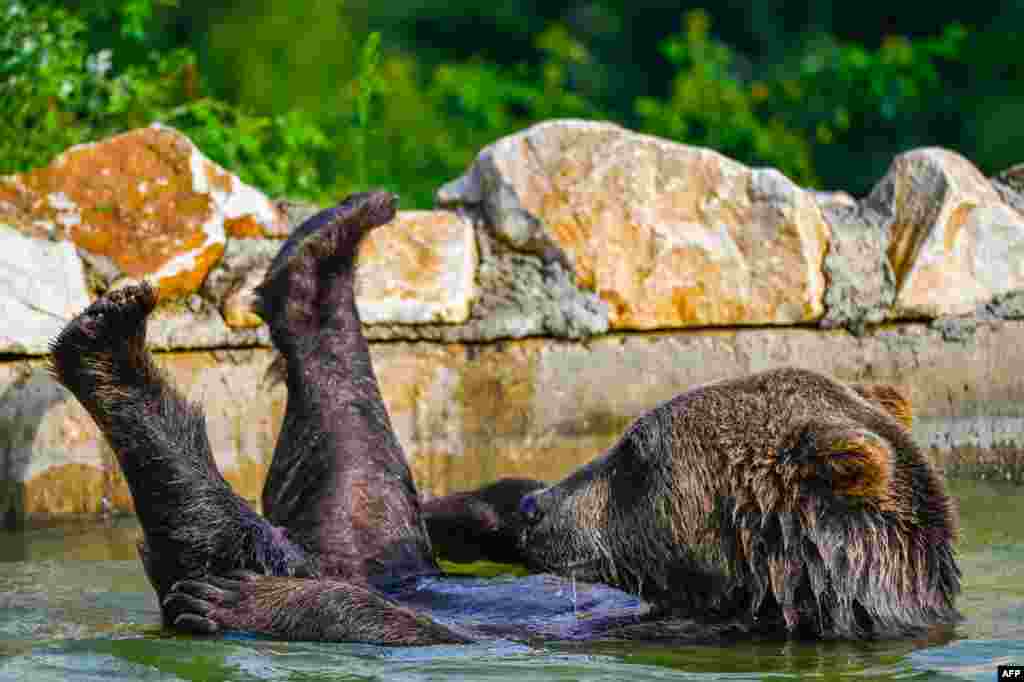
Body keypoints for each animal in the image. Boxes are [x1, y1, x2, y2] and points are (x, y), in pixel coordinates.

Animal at [48, 191, 958, 643]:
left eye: (636, 454)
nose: (539, 508)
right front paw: (479, 505)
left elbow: (443, 636)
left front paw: (247, 605)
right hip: (367, 544)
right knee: (359, 472)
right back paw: (331, 238)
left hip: (307, 547)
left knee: (224, 527)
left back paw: (110, 343)